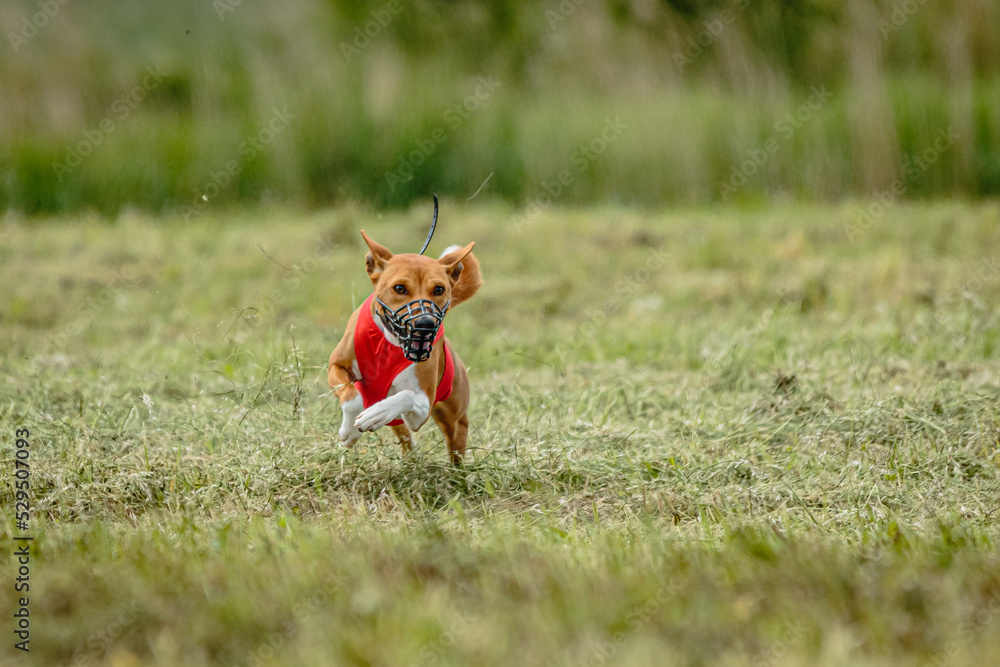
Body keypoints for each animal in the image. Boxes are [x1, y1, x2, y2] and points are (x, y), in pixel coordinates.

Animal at [328, 230, 480, 464]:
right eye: (399, 288)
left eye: (439, 289)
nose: (425, 323)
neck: (389, 344)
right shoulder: (336, 366)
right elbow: (353, 398)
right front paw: (350, 432)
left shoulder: (423, 406)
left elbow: (406, 395)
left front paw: (374, 414)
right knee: (405, 440)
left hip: (454, 421)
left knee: (455, 448)